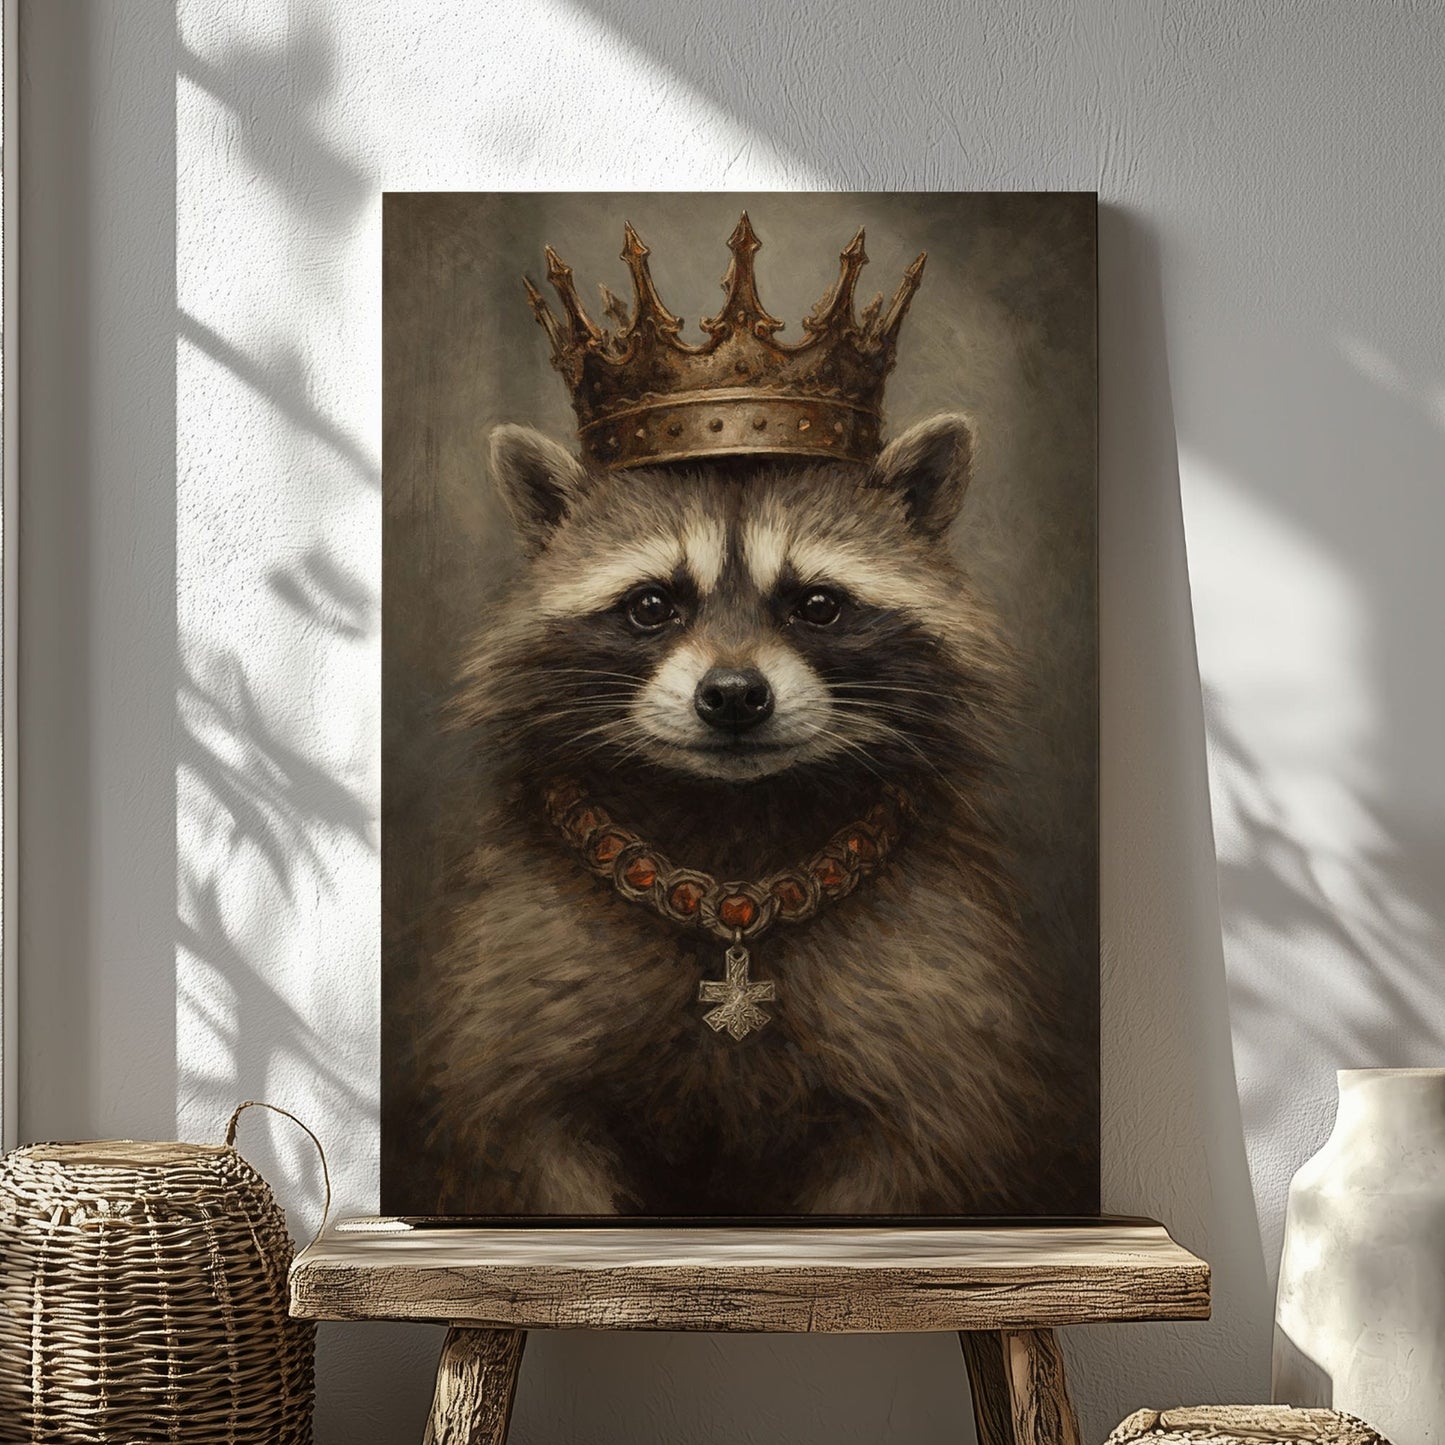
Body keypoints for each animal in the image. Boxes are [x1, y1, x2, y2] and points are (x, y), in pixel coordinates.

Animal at [410, 412, 1069, 1217]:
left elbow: (920, 1154)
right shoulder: (520, 989)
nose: (732, 695)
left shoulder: (937, 1004)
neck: (733, 819)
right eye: (651, 605)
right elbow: (526, 1151)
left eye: (817, 605)